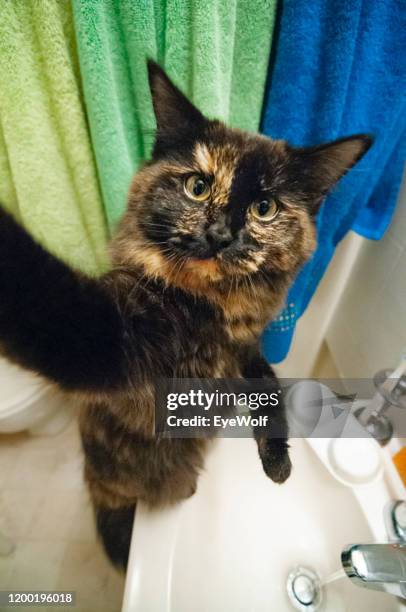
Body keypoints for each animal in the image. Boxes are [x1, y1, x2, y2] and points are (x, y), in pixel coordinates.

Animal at [0, 62, 372, 568]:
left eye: (265, 208)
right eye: (198, 187)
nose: (220, 234)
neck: (211, 310)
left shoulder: (247, 348)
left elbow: (270, 390)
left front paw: (278, 465)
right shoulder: (117, 339)